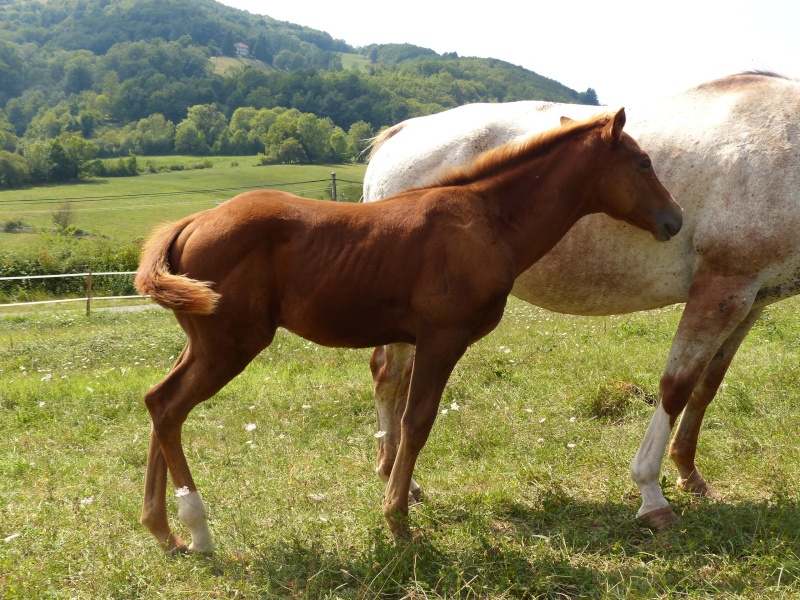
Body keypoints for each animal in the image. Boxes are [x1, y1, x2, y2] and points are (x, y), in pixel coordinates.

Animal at [366, 74, 800, 528]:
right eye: (641, 164)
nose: (674, 219)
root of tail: (402, 132)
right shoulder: (721, 288)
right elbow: (675, 387)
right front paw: (651, 493)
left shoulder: (750, 300)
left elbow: (705, 387)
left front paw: (689, 475)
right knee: (389, 378)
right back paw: (396, 481)